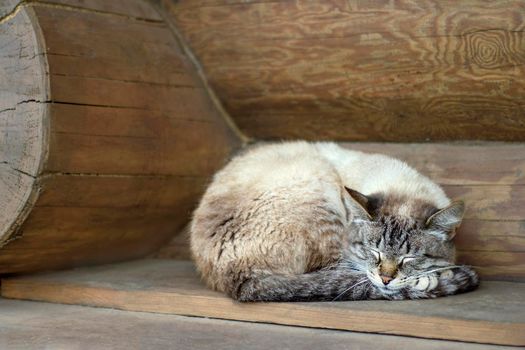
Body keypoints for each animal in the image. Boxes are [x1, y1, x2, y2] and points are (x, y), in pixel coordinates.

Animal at [189, 141, 478, 302]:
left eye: (409, 258)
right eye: (374, 252)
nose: (386, 279)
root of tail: (235, 278)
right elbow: (357, 273)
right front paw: (432, 278)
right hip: (318, 182)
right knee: (332, 274)